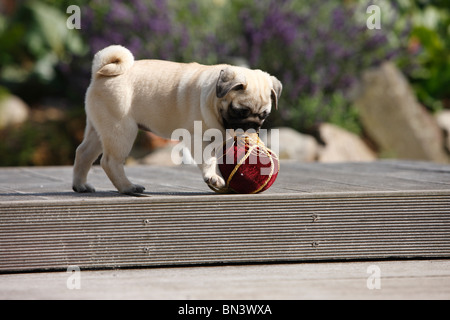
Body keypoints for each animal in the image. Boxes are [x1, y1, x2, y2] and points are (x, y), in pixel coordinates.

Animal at [72, 45, 282, 195]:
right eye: (240, 111)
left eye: (264, 116)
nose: (252, 127)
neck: (212, 98)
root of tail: (99, 73)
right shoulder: (199, 139)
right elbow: (209, 159)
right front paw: (212, 177)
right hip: (120, 130)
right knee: (109, 162)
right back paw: (128, 188)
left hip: (99, 129)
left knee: (83, 153)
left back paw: (80, 186)